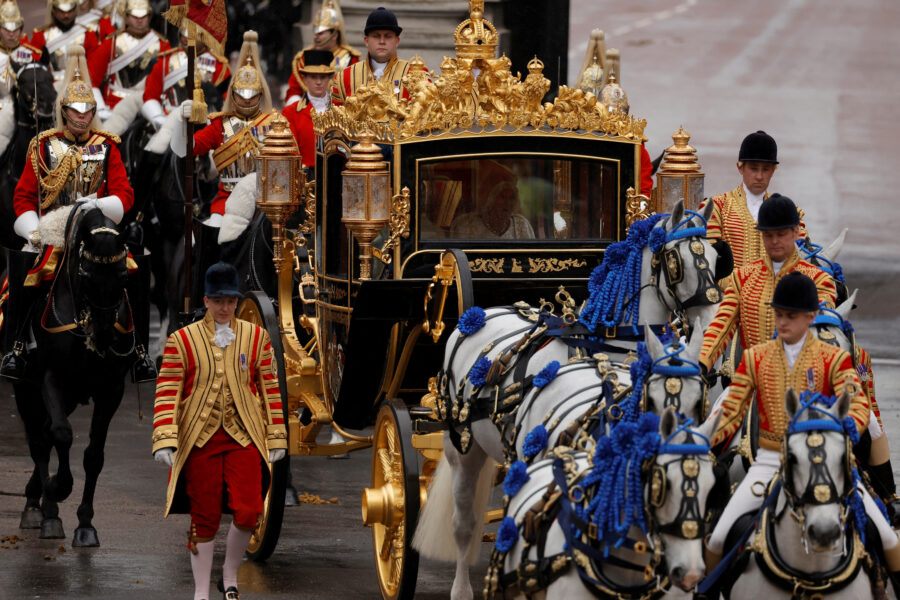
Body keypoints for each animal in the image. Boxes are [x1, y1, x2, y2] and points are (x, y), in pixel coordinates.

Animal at [13, 209, 135, 548]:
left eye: (123, 276)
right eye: (88, 275)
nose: (104, 337)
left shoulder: (111, 390)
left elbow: (93, 455)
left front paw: (85, 524)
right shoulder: (50, 378)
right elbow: (62, 435)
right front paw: (59, 488)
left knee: (43, 435)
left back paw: (38, 499)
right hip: (26, 391)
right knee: (40, 439)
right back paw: (42, 510)